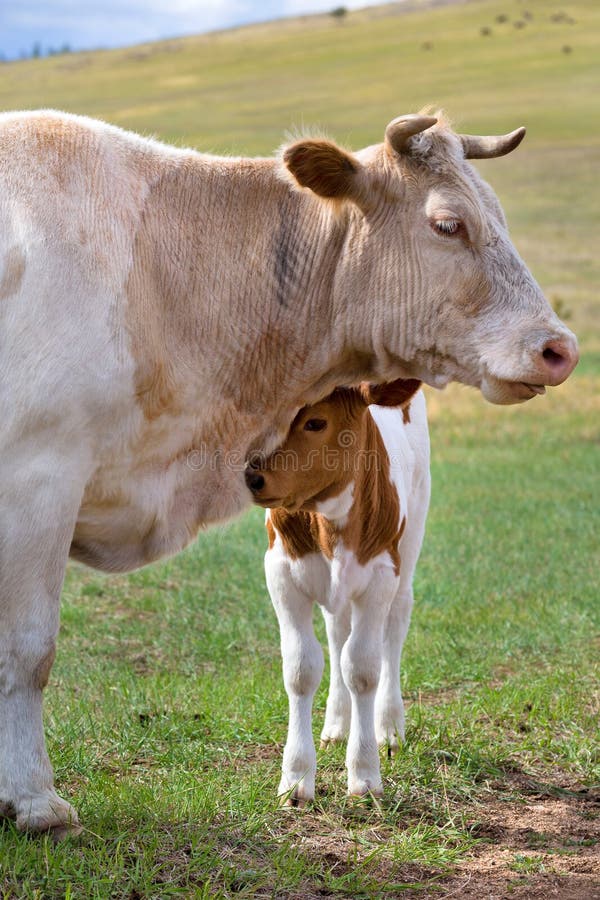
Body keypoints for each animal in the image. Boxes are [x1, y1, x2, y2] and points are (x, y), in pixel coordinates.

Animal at [246, 379, 428, 802]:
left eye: (316, 422)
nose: (252, 476)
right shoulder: (280, 573)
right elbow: (301, 668)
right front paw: (296, 777)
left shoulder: (380, 575)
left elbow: (362, 668)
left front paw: (364, 774)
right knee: (336, 632)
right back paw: (335, 724)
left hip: (411, 538)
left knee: (395, 627)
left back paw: (390, 727)